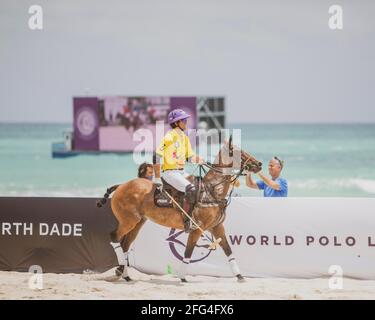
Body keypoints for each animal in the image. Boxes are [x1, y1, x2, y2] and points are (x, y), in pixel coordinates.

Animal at [97, 138, 262, 282]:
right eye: (238, 152)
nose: (259, 163)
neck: (212, 190)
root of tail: (121, 185)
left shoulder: (217, 227)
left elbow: (228, 250)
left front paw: (240, 276)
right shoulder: (197, 229)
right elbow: (188, 252)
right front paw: (182, 277)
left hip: (138, 222)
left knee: (125, 244)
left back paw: (124, 274)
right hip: (128, 220)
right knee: (114, 237)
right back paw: (122, 272)